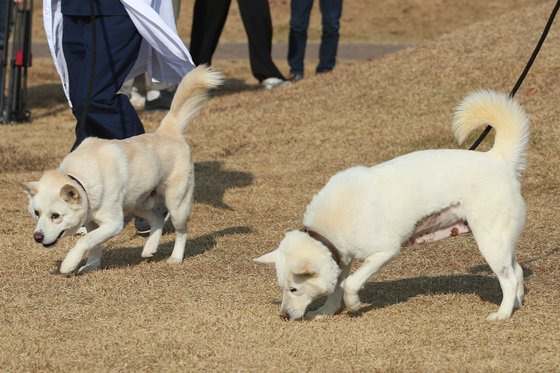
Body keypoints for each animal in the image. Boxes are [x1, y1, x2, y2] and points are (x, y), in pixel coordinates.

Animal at [21, 65, 223, 274]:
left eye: (56, 216)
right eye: (36, 213)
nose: (37, 237)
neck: (82, 180)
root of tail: (168, 132)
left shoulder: (113, 224)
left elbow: (84, 241)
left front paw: (69, 264)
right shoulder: (91, 221)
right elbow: (93, 244)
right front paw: (91, 266)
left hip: (177, 205)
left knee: (182, 231)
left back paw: (175, 258)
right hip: (138, 203)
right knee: (157, 220)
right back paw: (149, 248)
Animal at [256, 90, 532, 320]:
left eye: (294, 289)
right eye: (283, 288)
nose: (283, 316)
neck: (328, 230)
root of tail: (497, 158)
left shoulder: (385, 251)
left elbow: (349, 284)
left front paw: (354, 305)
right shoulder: (341, 258)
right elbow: (336, 289)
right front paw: (326, 311)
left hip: (489, 240)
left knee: (508, 279)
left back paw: (502, 314)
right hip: (500, 241)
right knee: (516, 271)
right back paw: (516, 304)